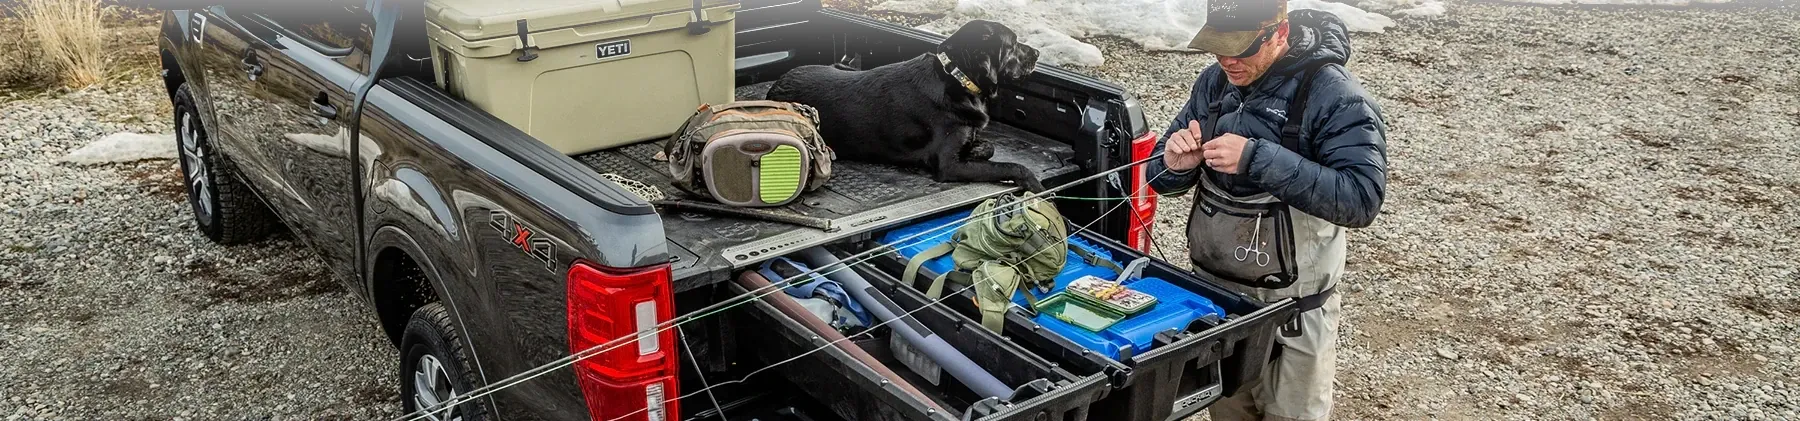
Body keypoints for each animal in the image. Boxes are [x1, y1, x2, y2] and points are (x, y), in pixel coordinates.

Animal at [766, 18, 1051, 191]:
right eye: (1013, 44)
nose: (1038, 53)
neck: (955, 76)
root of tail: (774, 86)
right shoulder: (950, 165)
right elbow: (1012, 165)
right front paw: (1035, 185)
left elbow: (990, 147)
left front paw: (978, 148)